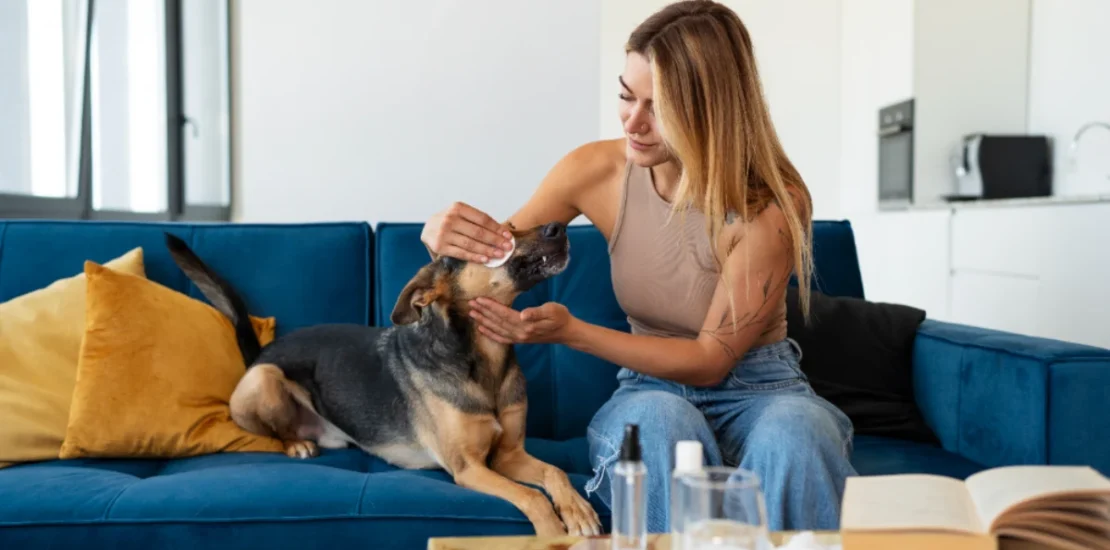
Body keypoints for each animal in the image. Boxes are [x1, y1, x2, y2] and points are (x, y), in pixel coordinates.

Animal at [160, 222, 599, 535]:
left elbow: (555, 473)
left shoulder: (508, 455)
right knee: (276, 429)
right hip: (265, 380)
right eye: (501, 234)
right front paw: (552, 530)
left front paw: (577, 510)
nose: (559, 226)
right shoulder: (469, 468)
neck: (482, 358)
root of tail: (262, 354)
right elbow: (531, 497)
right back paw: (296, 444)